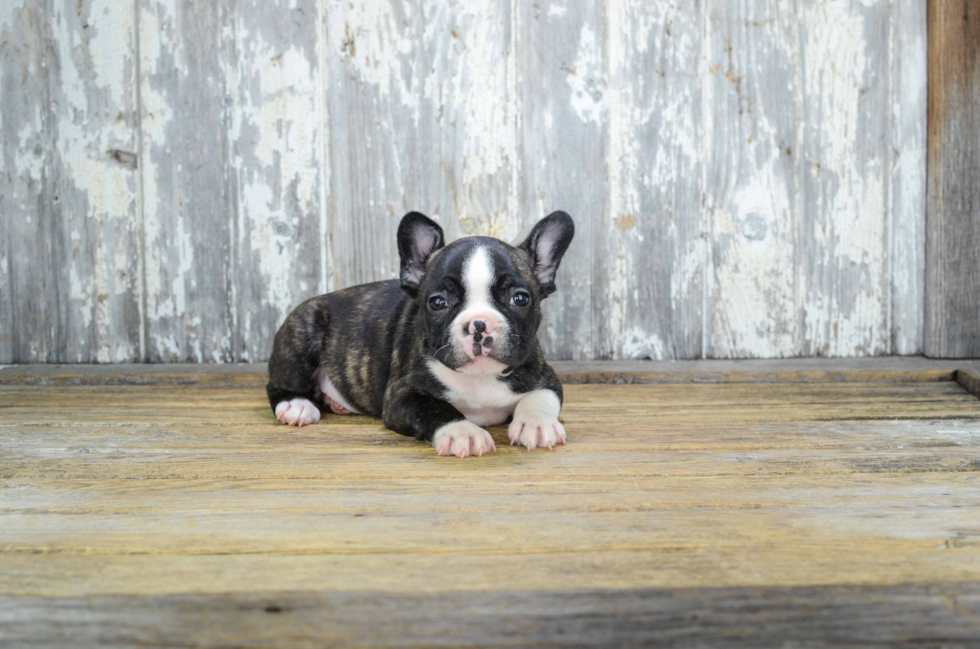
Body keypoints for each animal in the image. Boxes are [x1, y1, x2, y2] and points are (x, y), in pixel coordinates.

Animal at [268, 211, 576, 456]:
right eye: (438, 303)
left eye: (520, 299)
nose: (479, 324)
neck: (480, 378)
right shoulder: (401, 395)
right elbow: (435, 408)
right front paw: (464, 432)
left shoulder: (545, 376)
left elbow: (540, 397)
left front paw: (537, 424)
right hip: (304, 327)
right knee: (280, 384)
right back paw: (296, 405)